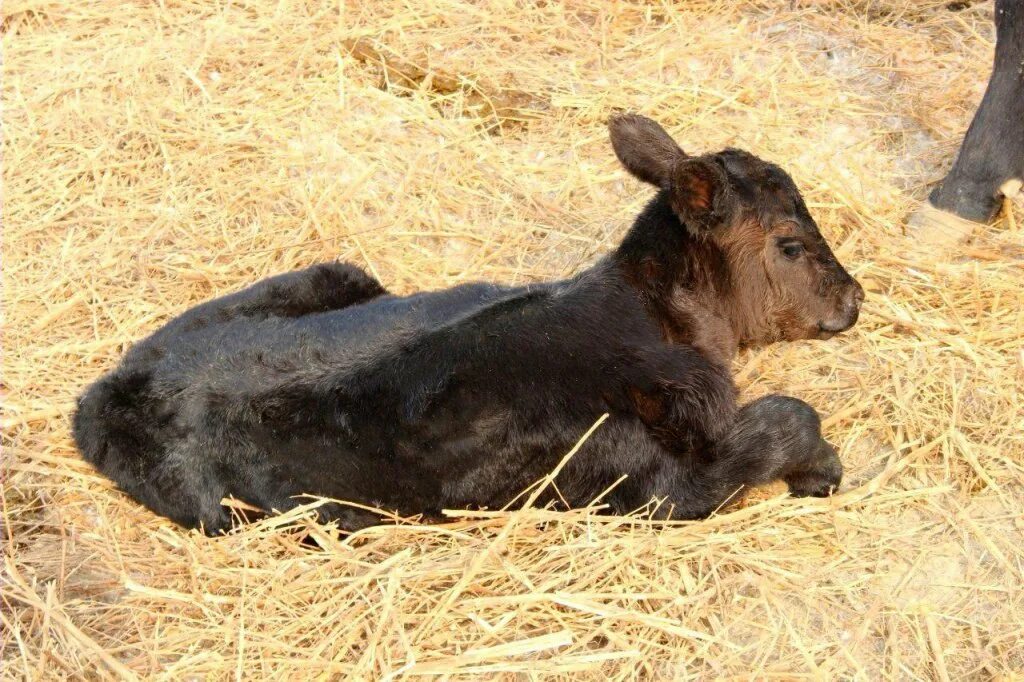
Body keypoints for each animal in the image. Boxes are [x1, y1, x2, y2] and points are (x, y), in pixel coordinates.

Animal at [72, 114, 864, 532]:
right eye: (790, 244)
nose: (854, 298)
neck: (651, 314)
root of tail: (102, 393)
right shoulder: (649, 485)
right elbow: (788, 418)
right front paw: (822, 472)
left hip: (333, 273)